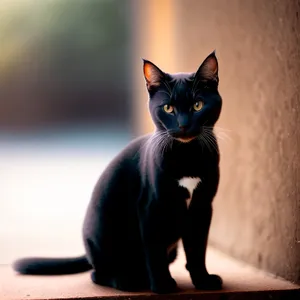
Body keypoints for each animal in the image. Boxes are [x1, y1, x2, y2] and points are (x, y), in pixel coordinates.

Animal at [12, 51, 223, 292]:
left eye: (198, 105)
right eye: (168, 108)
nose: (183, 125)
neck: (187, 156)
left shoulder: (202, 207)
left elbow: (197, 250)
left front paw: (204, 281)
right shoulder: (151, 206)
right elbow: (155, 251)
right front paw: (162, 285)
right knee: (99, 273)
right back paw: (130, 281)